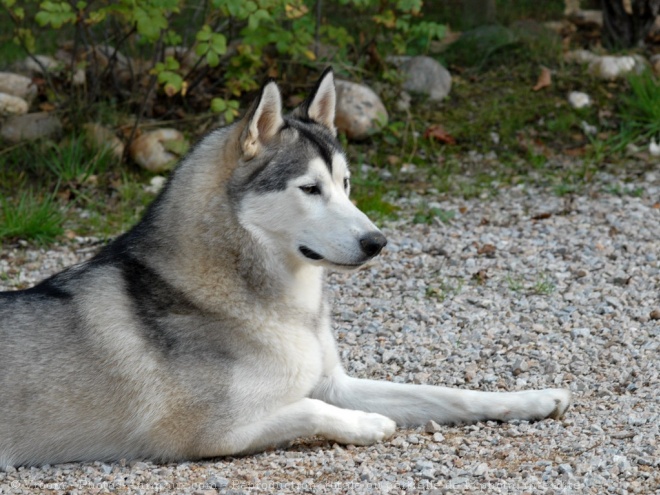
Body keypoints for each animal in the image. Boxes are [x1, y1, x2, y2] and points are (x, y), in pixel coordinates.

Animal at [0, 70, 568, 468]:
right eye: (310, 189)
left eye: (346, 183)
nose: (377, 242)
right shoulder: (207, 433)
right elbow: (313, 411)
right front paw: (367, 424)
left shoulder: (334, 381)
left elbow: (447, 394)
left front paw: (533, 399)